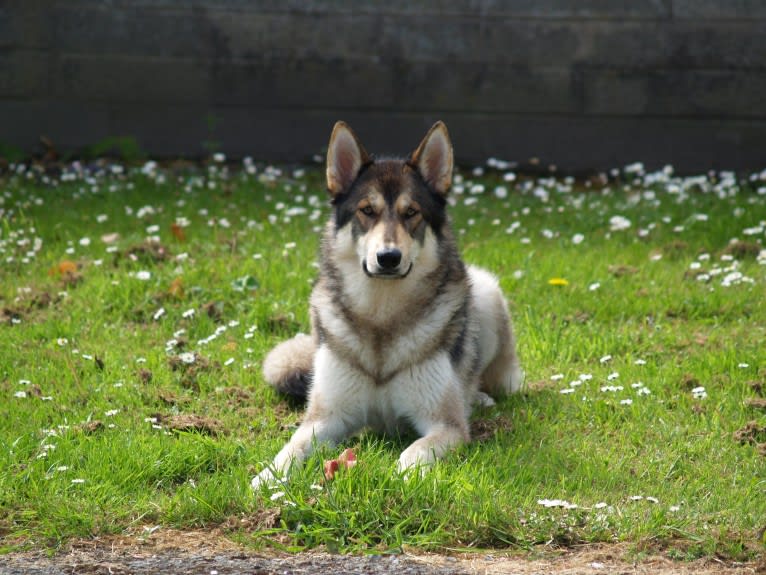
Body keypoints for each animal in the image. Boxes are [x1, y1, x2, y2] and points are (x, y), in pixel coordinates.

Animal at [255, 121, 524, 490]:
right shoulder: (325, 419)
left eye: (411, 213)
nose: (388, 257)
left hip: (486, 295)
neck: (381, 315)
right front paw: (266, 477)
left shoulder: (446, 426)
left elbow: (413, 452)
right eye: (367, 211)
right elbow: (291, 447)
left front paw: (401, 478)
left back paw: (478, 396)